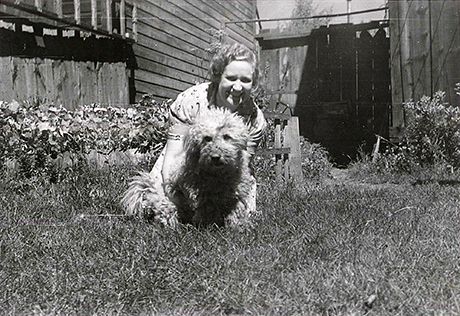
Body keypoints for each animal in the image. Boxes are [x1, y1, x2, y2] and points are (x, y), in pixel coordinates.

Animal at [120, 108, 255, 227]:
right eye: (207, 138)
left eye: (227, 136)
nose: (215, 157)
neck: (219, 175)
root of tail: (150, 187)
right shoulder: (203, 198)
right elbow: (208, 214)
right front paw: (209, 227)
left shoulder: (236, 196)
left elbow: (236, 212)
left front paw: (238, 226)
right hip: (169, 201)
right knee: (167, 215)